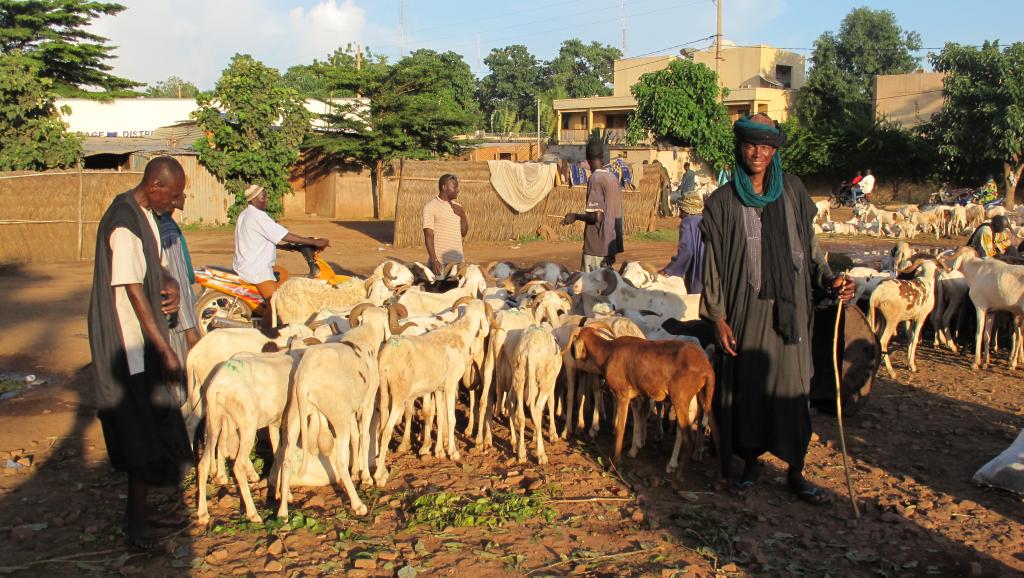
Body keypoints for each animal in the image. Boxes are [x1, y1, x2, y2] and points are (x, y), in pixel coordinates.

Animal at [565, 323, 716, 471]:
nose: (573, 355)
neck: (608, 352)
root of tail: (706, 366)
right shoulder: (635, 397)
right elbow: (638, 419)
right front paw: (634, 450)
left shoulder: (622, 394)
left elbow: (620, 428)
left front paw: (615, 463)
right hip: (700, 398)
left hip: (680, 399)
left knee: (686, 436)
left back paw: (675, 470)